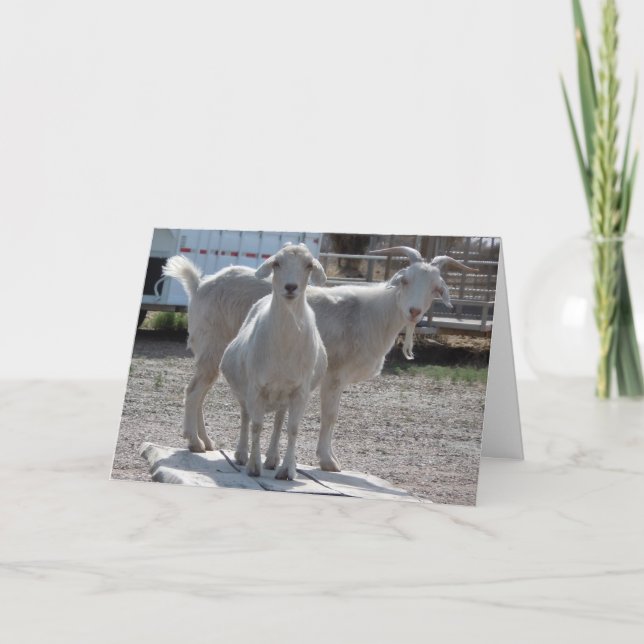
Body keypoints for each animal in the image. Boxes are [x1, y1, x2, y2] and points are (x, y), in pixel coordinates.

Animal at [163, 245, 475, 471]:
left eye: (436, 288)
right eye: (406, 280)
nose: (413, 311)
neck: (372, 315)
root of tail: (200, 285)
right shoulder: (335, 375)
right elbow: (331, 416)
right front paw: (328, 461)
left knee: (200, 392)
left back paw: (206, 441)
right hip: (213, 345)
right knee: (194, 391)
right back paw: (194, 442)